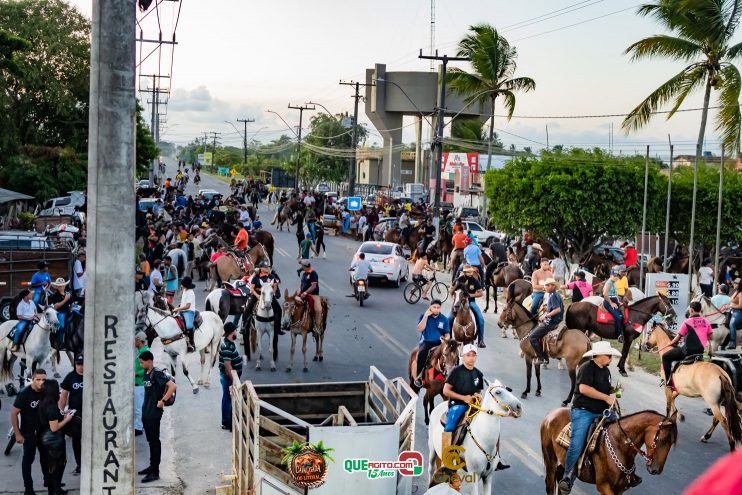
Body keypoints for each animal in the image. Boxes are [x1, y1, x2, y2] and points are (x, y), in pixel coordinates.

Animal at [540, 406, 680, 495]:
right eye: (663, 439)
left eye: (672, 443)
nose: (656, 470)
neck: (619, 445)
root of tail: (550, 414)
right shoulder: (604, 485)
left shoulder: (620, 488)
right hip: (550, 457)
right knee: (550, 483)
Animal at [644, 324, 742, 452]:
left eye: (650, 333)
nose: (645, 345)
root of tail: (721, 373)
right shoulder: (678, 389)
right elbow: (673, 401)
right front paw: (679, 416)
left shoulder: (668, 388)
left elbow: (668, 407)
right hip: (723, 401)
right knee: (720, 418)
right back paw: (706, 436)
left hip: (713, 403)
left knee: (723, 421)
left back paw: (731, 446)